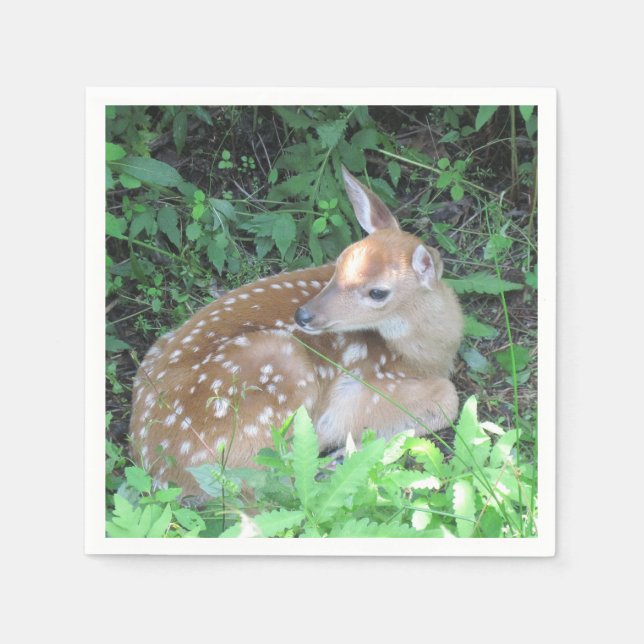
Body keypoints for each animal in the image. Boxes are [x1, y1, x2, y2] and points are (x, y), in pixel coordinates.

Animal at [129, 167, 463, 498]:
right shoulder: (362, 388)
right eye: (339, 263)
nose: (303, 314)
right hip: (277, 370)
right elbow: (448, 399)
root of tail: (158, 470)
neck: (425, 356)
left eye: (378, 292)